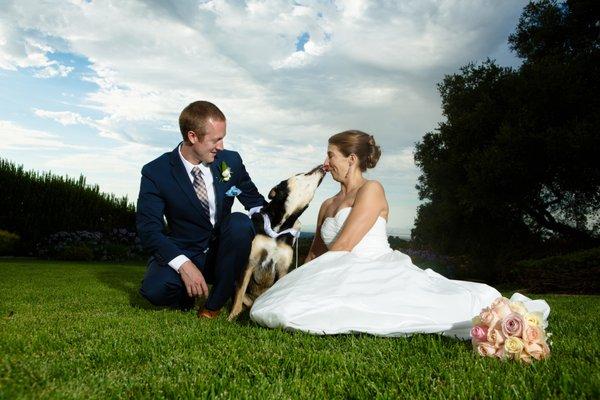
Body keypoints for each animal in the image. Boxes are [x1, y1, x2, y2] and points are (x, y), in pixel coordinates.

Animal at [227, 164, 326, 320]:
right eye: (300, 174)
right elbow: (240, 291)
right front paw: (232, 316)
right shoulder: (250, 260)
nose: (322, 165)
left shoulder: (283, 268)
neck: (280, 227)